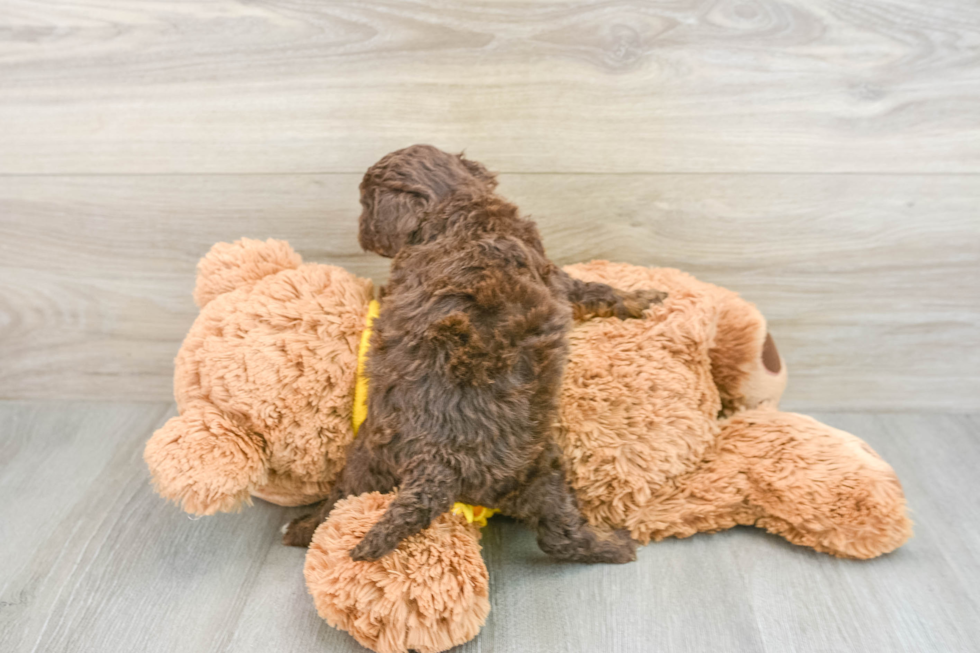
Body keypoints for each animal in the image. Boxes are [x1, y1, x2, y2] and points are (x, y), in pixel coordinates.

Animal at [284, 145, 668, 564]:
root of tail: (435, 463)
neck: (451, 203)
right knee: (561, 536)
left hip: (367, 463)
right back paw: (617, 545)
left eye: (364, 202)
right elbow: (598, 289)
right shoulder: (555, 276)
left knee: (336, 504)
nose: (362, 233)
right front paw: (644, 297)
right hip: (538, 469)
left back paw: (299, 528)